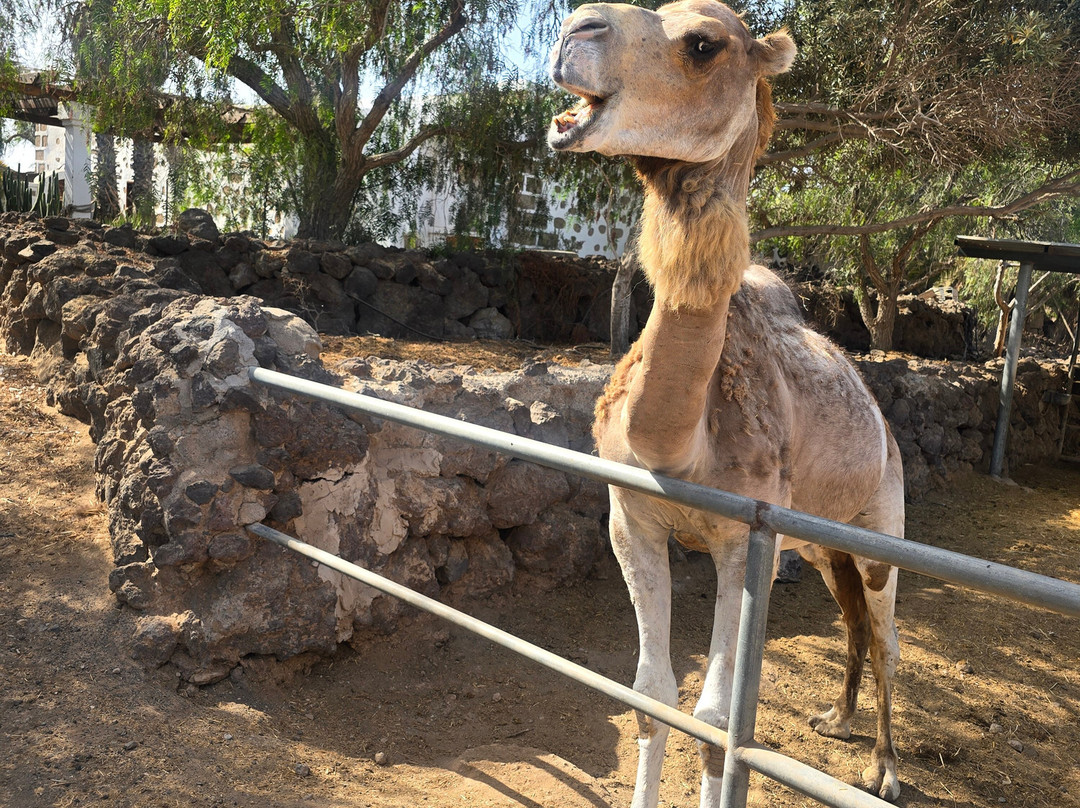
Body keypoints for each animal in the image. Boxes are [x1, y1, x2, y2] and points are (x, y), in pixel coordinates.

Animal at [546, 2, 904, 806]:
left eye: (703, 44)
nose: (575, 30)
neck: (678, 445)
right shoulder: (631, 518)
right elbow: (651, 695)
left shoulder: (746, 542)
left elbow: (715, 723)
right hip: (819, 539)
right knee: (852, 616)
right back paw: (835, 720)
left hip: (883, 525)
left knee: (887, 630)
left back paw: (885, 768)